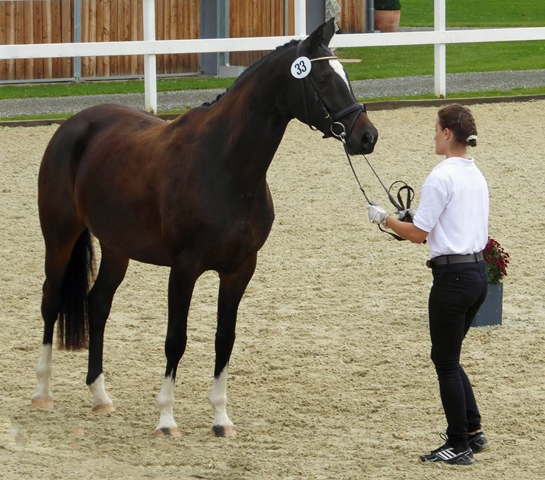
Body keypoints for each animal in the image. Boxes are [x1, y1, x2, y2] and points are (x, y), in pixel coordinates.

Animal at [31, 19, 376, 438]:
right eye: (324, 78)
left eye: (345, 76)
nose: (367, 136)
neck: (225, 165)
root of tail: (74, 125)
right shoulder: (184, 269)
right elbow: (175, 340)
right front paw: (166, 419)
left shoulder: (240, 269)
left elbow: (224, 340)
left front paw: (220, 419)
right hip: (59, 238)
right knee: (50, 301)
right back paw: (42, 393)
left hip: (117, 248)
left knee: (97, 305)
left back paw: (101, 397)